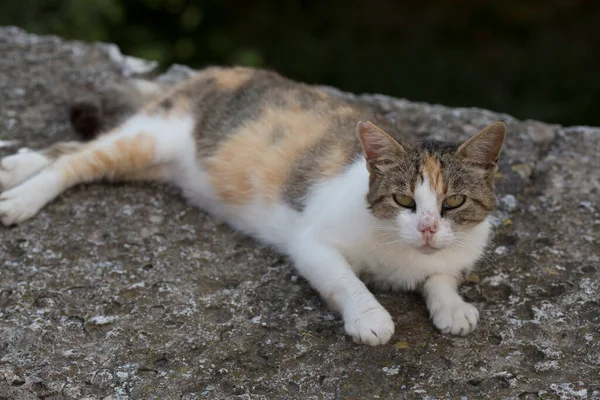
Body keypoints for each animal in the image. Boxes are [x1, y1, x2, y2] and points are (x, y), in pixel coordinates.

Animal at [0, 65, 506, 344]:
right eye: (403, 199)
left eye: (453, 202)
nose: (426, 228)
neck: (403, 255)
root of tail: (211, 72)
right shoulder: (312, 242)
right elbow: (346, 280)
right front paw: (370, 317)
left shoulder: (458, 251)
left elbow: (443, 275)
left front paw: (452, 306)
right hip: (151, 137)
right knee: (76, 160)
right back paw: (20, 197)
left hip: (151, 161)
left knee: (68, 151)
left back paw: (13, 167)